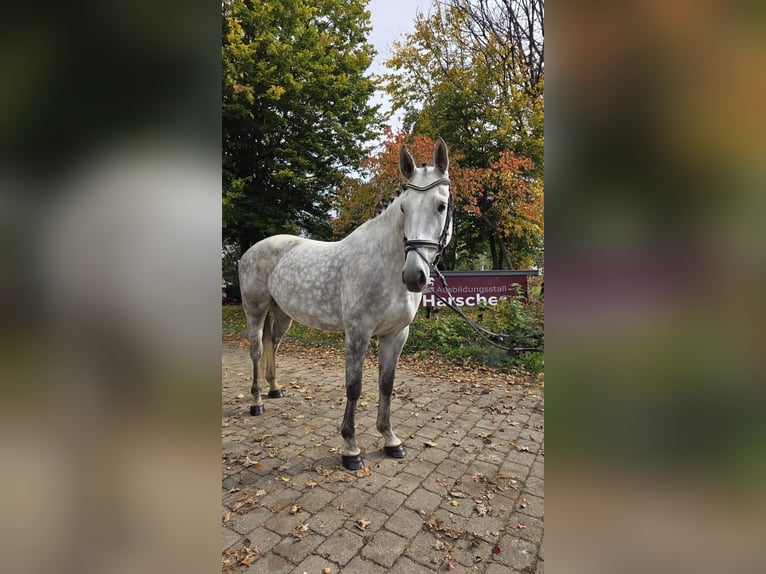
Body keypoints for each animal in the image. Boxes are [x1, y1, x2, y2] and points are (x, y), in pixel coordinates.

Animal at [238, 138, 453, 470]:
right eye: (404, 208)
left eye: (441, 206)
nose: (414, 276)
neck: (385, 264)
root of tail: (250, 251)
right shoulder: (357, 333)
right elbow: (354, 387)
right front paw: (351, 448)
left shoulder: (396, 335)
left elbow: (386, 384)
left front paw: (390, 439)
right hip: (255, 310)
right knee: (257, 351)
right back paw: (257, 402)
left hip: (283, 315)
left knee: (273, 344)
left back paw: (275, 390)